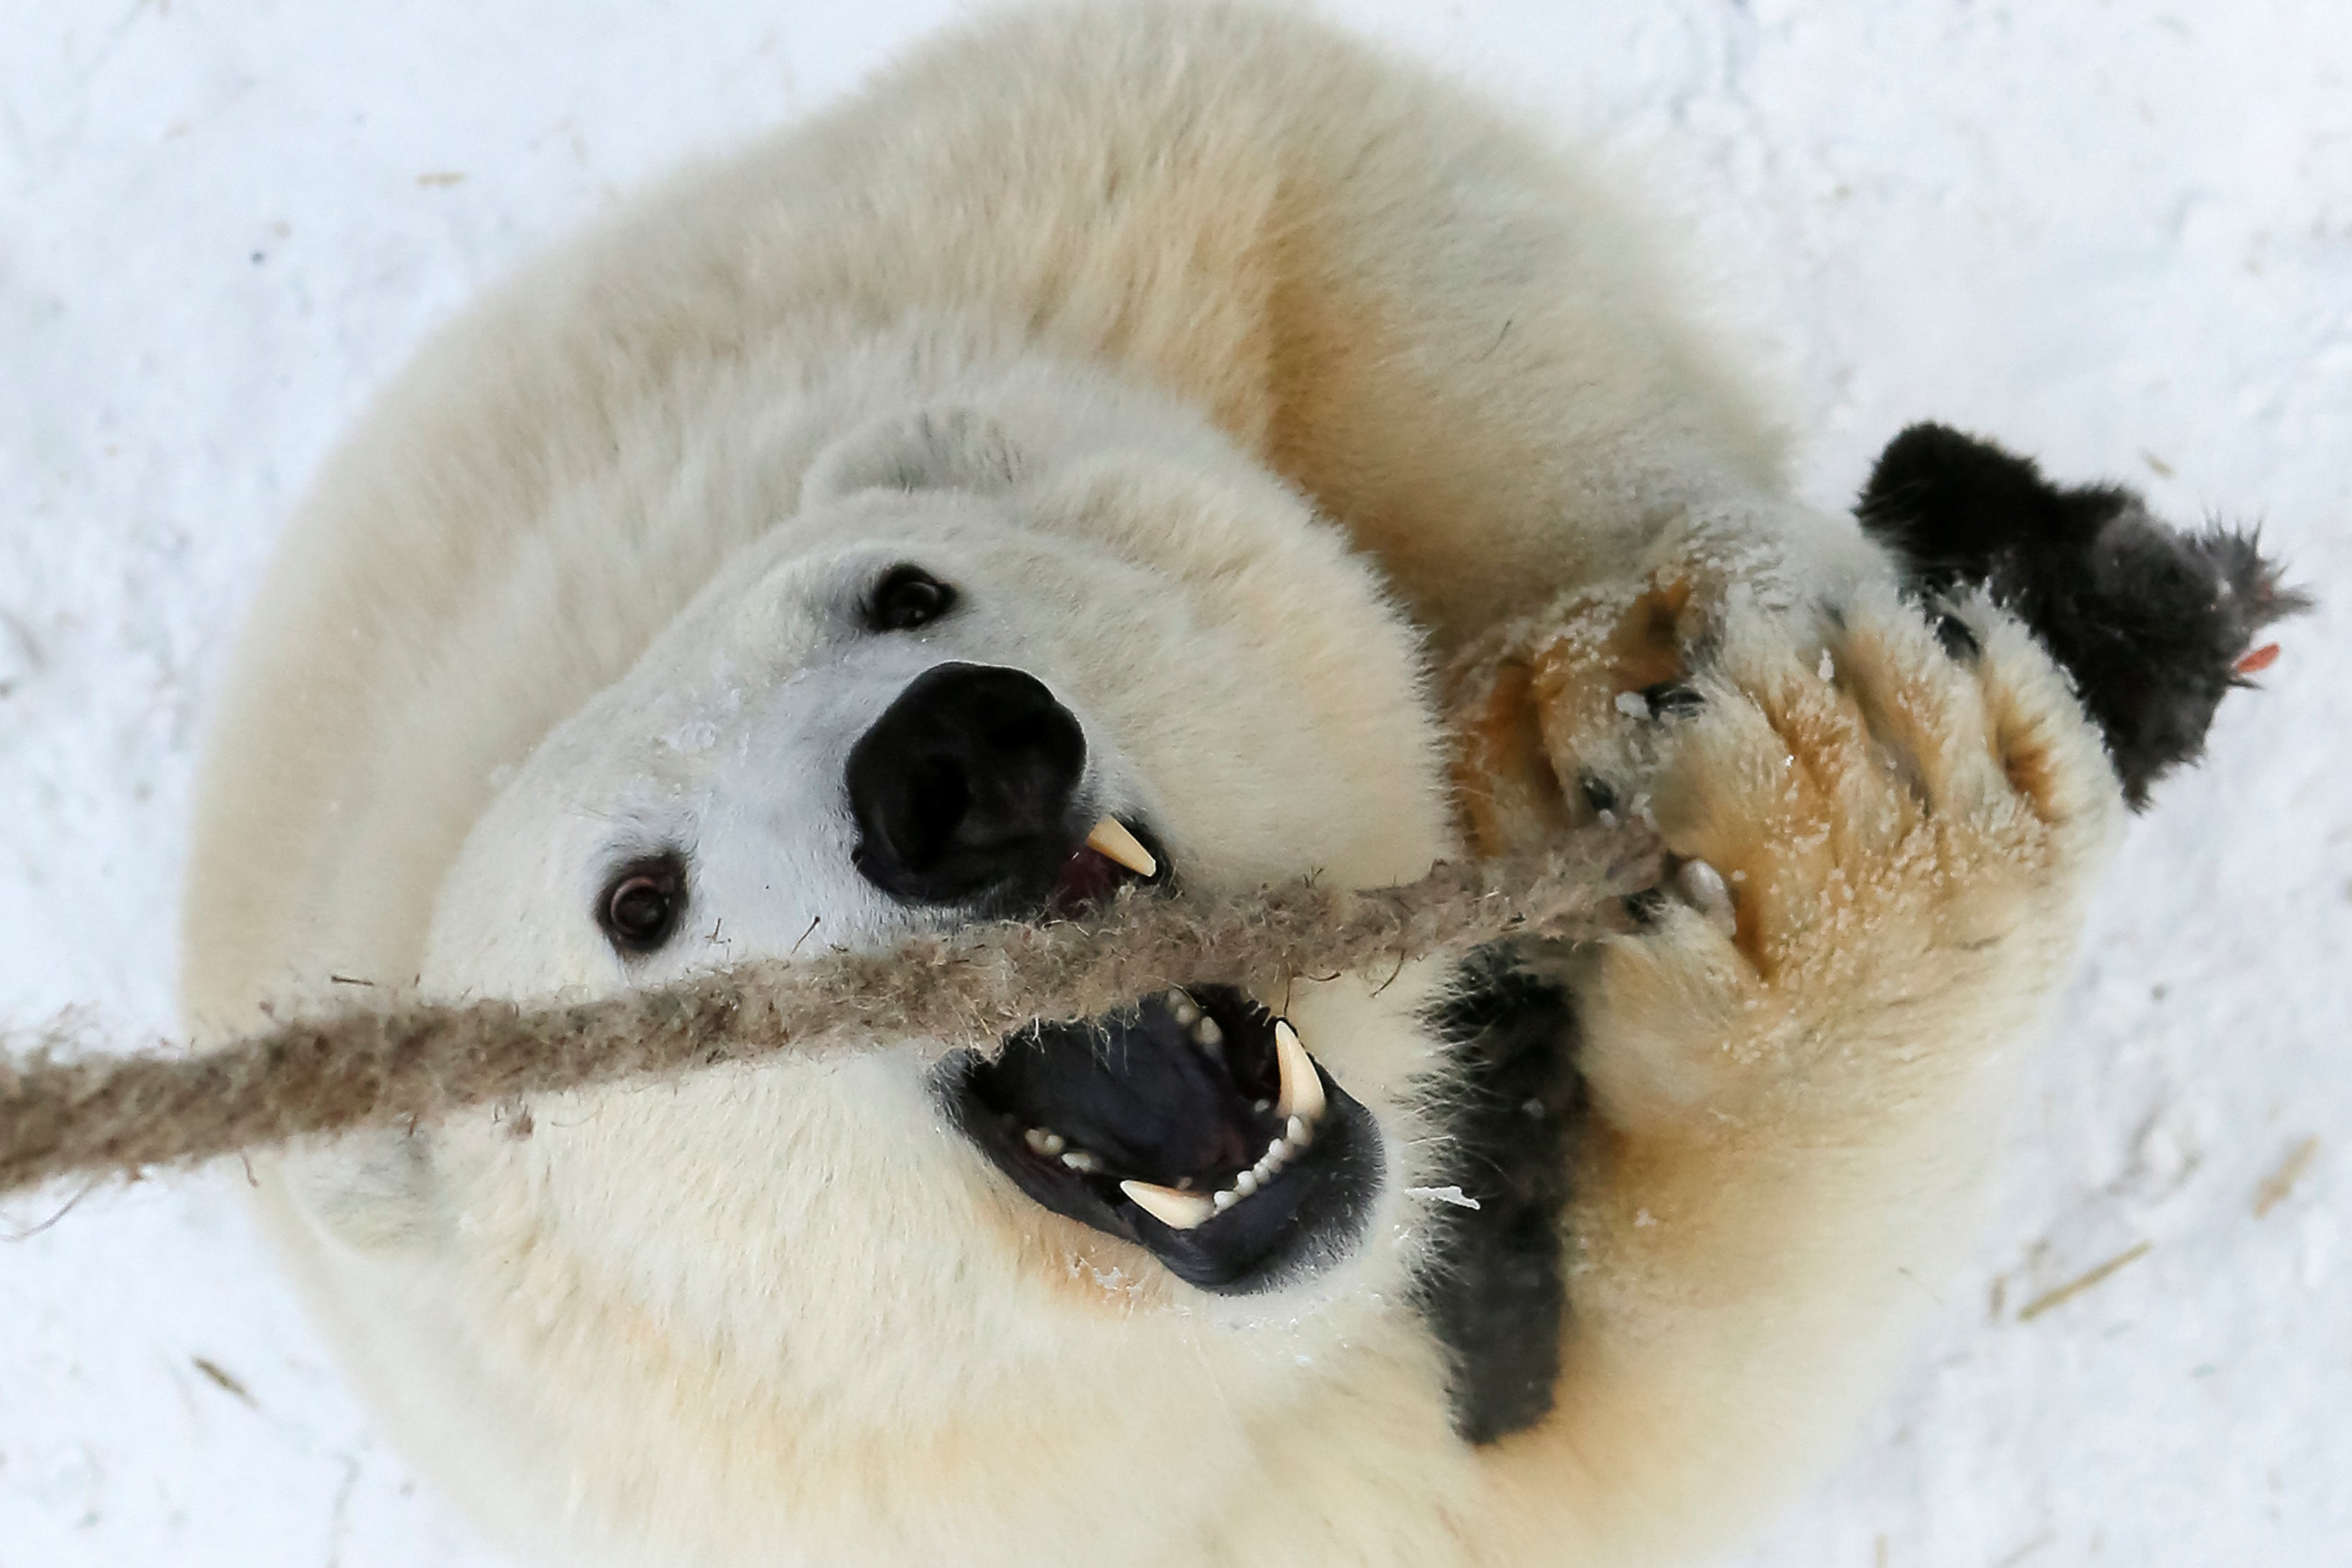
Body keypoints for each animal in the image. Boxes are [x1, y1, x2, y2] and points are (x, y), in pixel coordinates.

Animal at [174, 3, 2286, 1568]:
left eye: (904, 586)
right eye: (635, 903)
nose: (949, 760)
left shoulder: (1036, 238)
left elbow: (1369, 231)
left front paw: (1625, 681)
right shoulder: (1142, 1488)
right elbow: (1584, 1464)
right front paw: (1853, 842)